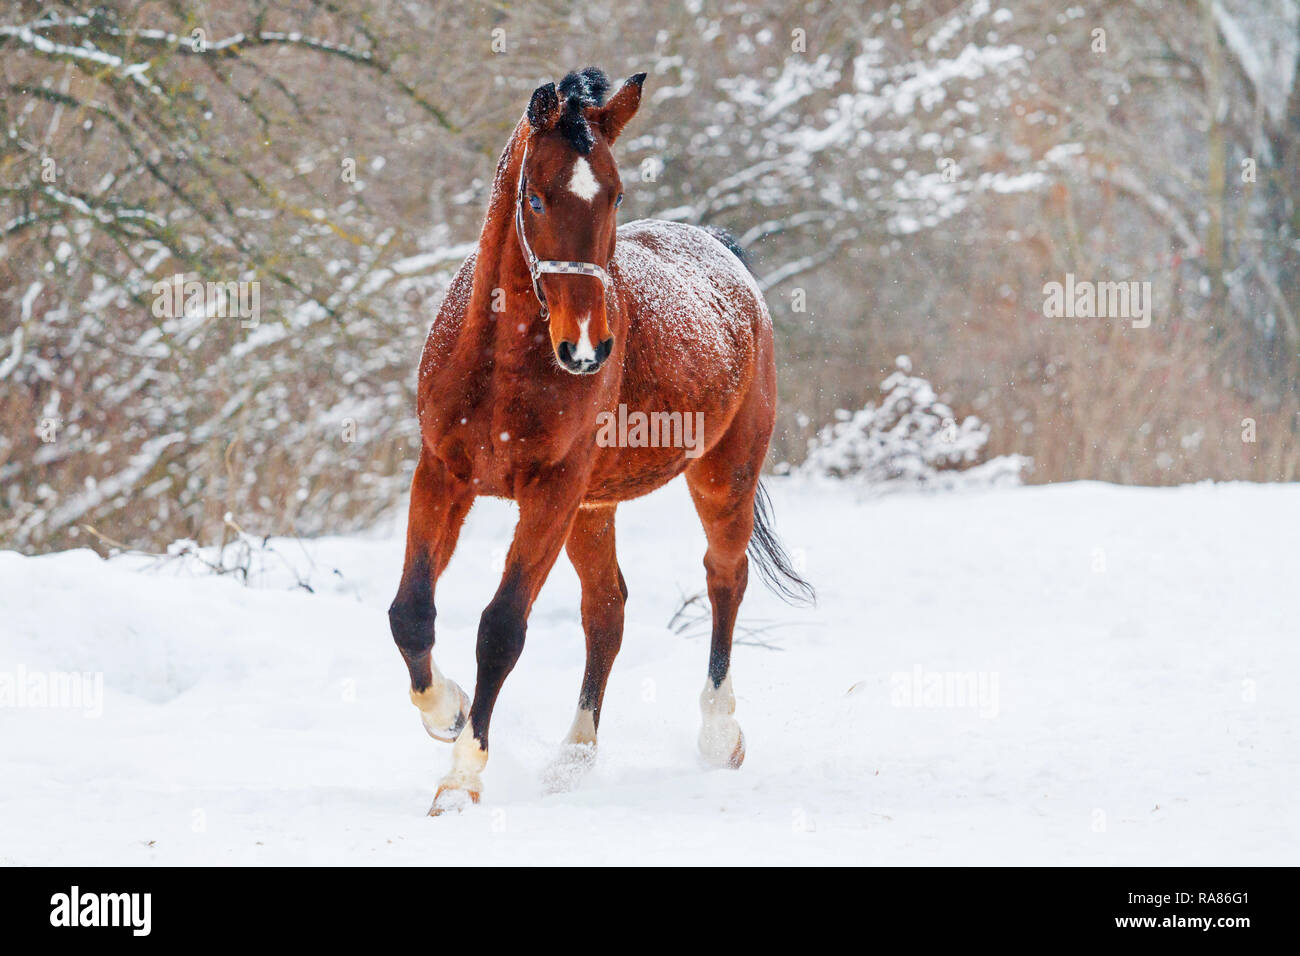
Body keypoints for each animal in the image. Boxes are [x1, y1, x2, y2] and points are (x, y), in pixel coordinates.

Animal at [387, 69, 811, 816]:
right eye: (535, 196)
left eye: (614, 194)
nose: (585, 347)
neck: (501, 363)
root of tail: (725, 257)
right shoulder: (443, 474)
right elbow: (411, 612)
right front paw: (448, 712)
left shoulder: (550, 493)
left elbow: (502, 629)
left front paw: (462, 776)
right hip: (595, 508)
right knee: (606, 610)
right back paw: (572, 759)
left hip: (721, 475)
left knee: (724, 579)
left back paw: (718, 735)